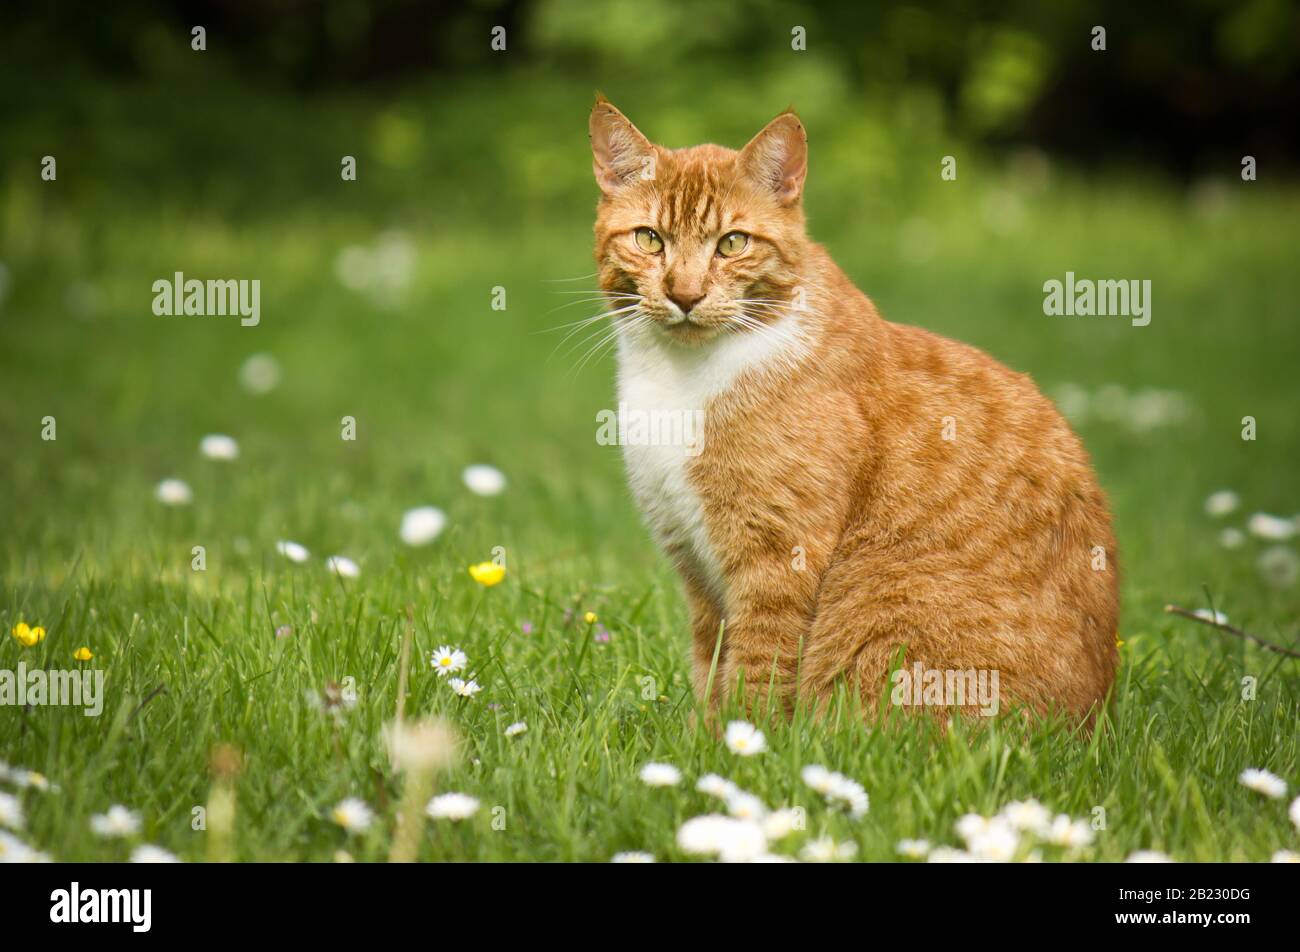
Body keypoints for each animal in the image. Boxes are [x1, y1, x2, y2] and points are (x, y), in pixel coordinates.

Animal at [590, 98, 1118, 723]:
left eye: (732, 243)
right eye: (650, 240)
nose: (685, 294)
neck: (679, 378)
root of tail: (1093, 721)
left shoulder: (779, 556)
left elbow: (757, 669)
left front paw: (743, 739)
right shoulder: (694, 563)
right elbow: (710, 663)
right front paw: (703, 735)